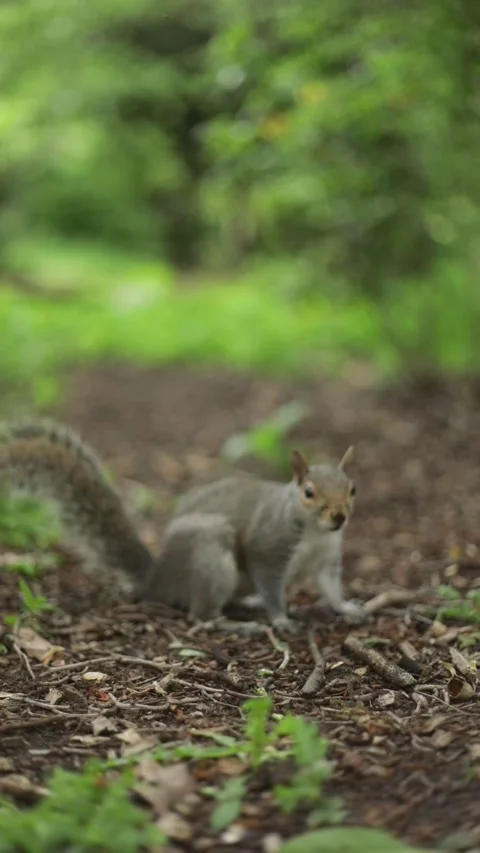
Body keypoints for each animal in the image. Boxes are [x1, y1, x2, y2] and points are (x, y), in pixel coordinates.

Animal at [0, 419, 365, 631]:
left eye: (352, 489)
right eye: (309, 492)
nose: (339, 517)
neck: (316, 534)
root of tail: (156, 579)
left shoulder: (328, 558)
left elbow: (331, 587)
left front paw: (348, 608)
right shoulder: (268, 549)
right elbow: (271, 585)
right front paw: (280, 619)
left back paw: (248, 604)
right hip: (210, 551)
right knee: (201, 615)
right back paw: (240, 626)